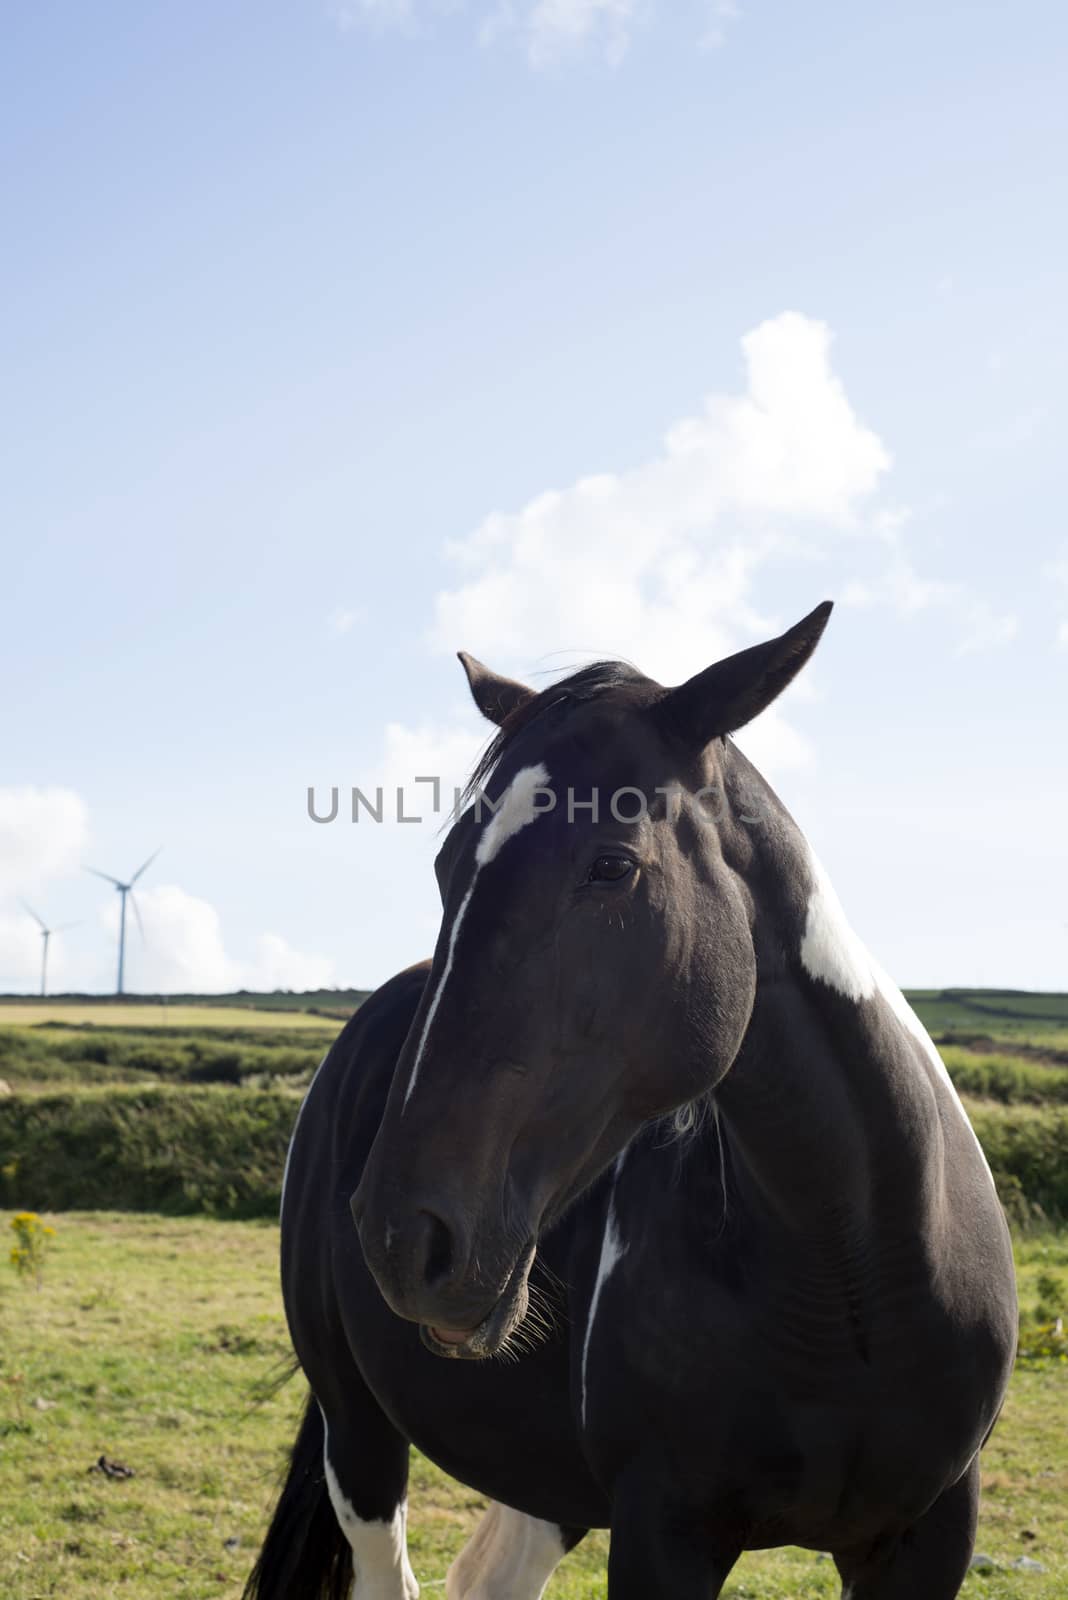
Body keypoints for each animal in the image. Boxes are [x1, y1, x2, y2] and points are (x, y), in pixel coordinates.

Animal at [244, 601, 1016, 1600]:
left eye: (611, 866)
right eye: (449, 868)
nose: (402, 1239)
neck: (853, 1268)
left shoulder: (927, 1538)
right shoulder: (663, 1531)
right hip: (361, 1435)